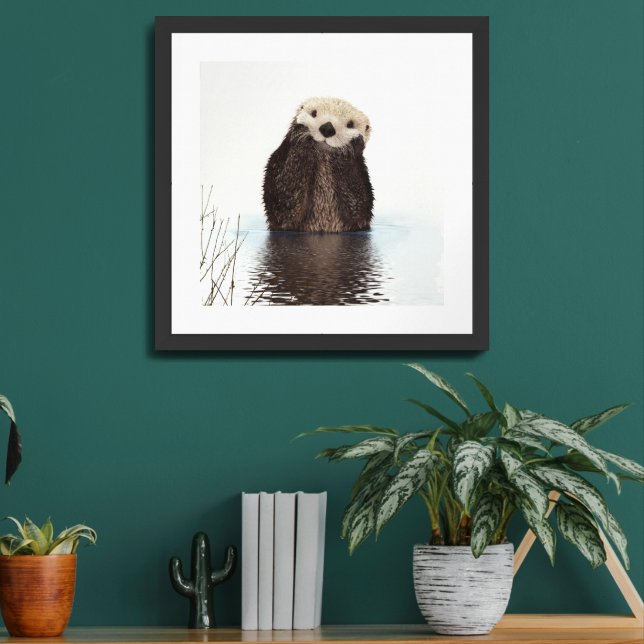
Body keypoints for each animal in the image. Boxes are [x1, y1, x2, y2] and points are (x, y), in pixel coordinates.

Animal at [263, 97, 374, 233]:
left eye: (350, 124)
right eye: (314, 113)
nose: (327, 128)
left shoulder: (362, 178)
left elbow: (358, 207)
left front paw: (351, 147)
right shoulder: (277, 163)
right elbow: (283, 203)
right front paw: (302, 134)